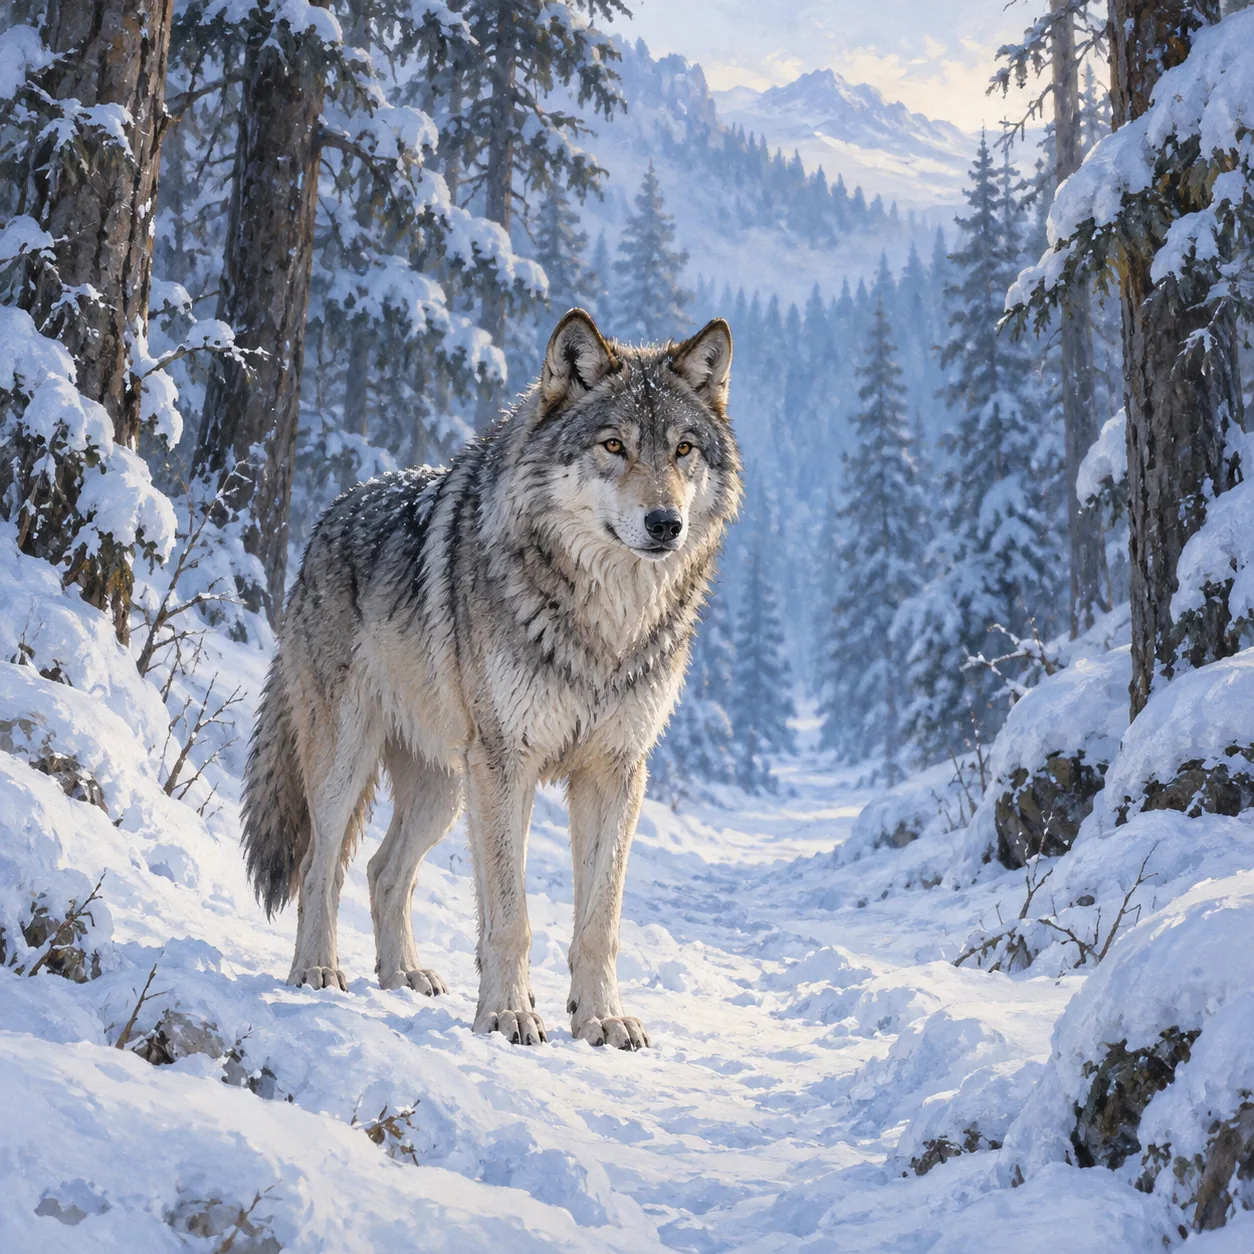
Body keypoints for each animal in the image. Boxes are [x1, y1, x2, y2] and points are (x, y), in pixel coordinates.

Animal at [241, 309, 741, 1049]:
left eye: (682, 450)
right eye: (614, 445)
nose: (665, 524)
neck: (605, 624)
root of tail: (323, 523)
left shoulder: (616, 771)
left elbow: (600, 923)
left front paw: (600, 1020)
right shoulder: (508, 763)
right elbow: (511, 915)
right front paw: (509, 1014)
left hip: (446, 787)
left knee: (383, 871)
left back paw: (403, 975)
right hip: (352, 763)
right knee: (320, 866)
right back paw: (318, 971)